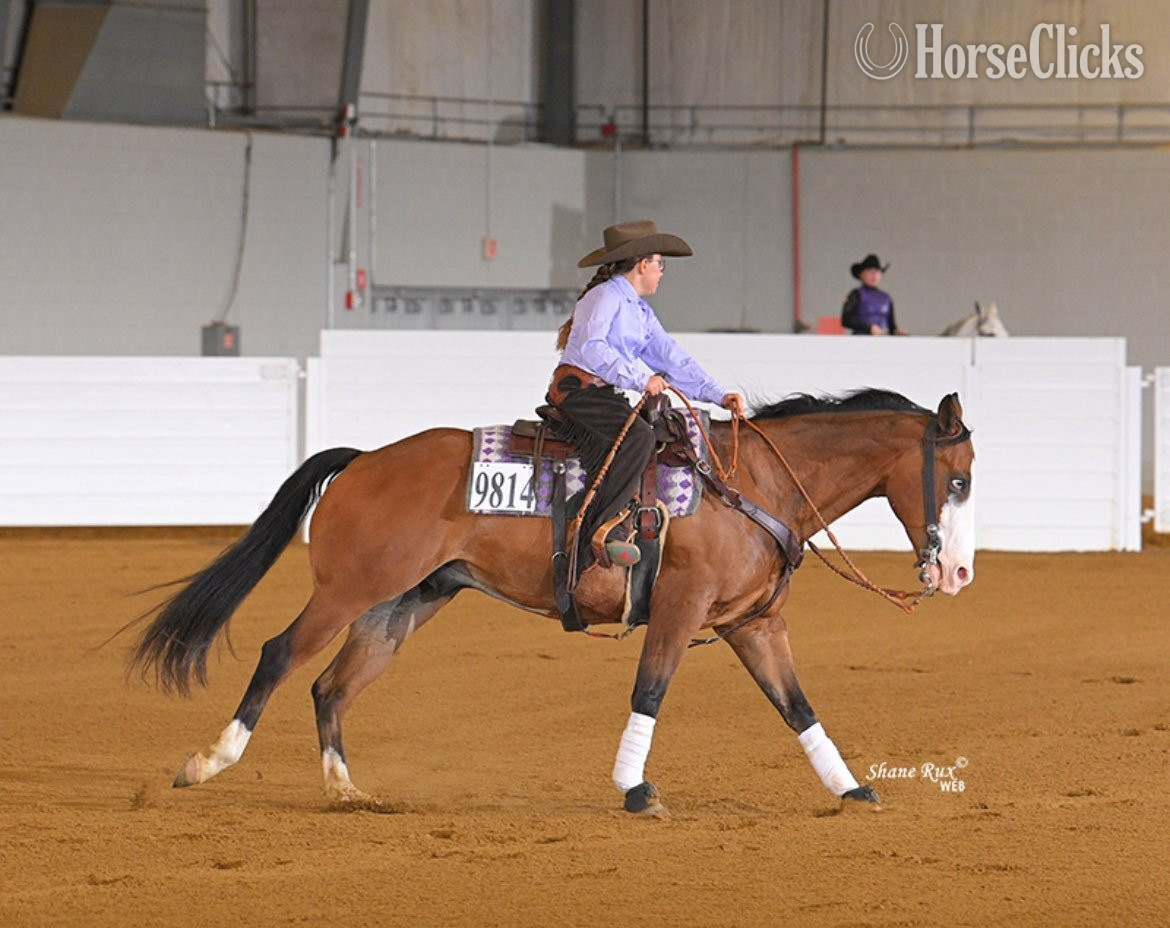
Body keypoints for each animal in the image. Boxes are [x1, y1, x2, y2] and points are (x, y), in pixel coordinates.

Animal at [129, 388, 976, 815]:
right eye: (961, 478)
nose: (959, 574)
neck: (751, 485)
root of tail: (366, 457)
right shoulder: (681, 609)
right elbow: (650, 691)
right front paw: (635, 788)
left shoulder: (754, 624)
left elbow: (797, 706)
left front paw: (851, 788)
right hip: (347, 591)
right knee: (280, 656)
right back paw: (207, 762)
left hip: (400, 604)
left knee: (330, 686)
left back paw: (345, 791)